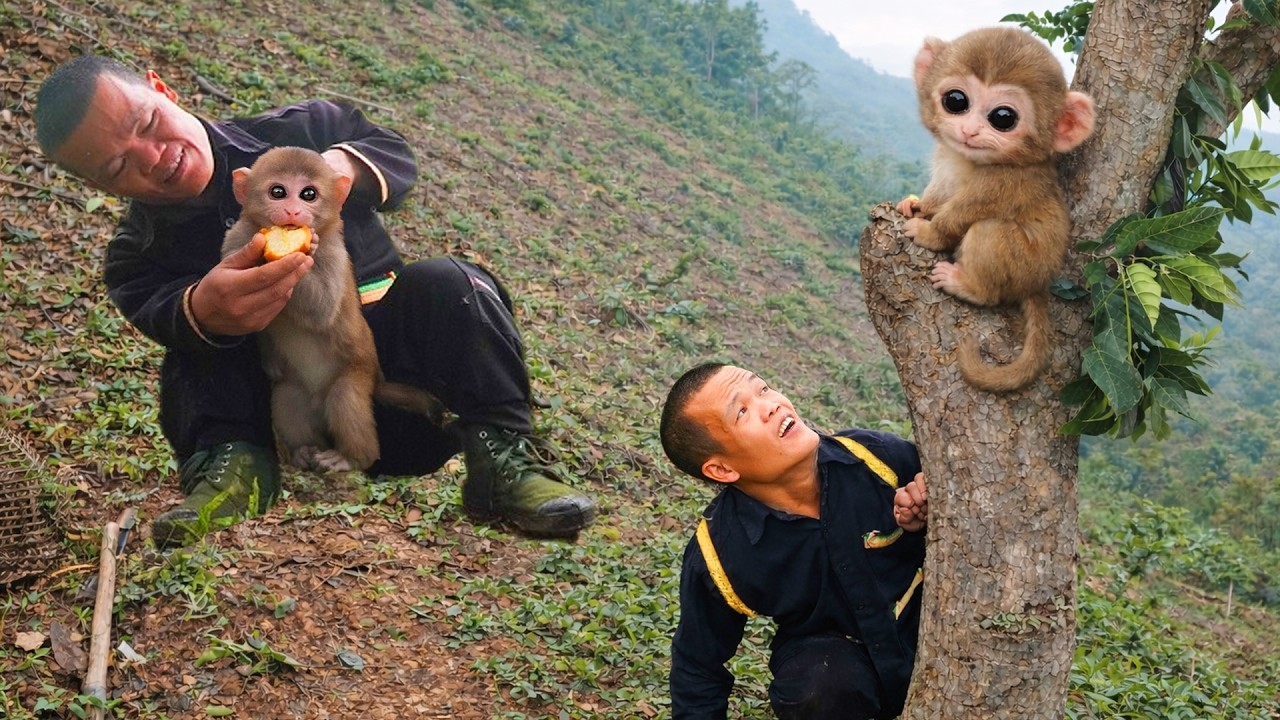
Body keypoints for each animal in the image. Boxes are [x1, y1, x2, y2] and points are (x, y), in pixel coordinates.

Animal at [222, 146, 444, 472]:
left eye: (308, 194)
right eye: (278, 192)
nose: (292, 212)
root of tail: (376, 378)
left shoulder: (334, 255)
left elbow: (323, 308)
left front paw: (302, 255)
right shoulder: (235, 241)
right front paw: (269, 358)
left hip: (355, 375)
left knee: (345, 398)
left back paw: (352, 457)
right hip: (300, 396)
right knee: (288, 399)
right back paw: (303, 450)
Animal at [896, 26, 1096, 393]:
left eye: (1003, 118)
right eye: (956, 100)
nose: (969, 130)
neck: (972, 162)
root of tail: (1038, 283)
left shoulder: (1005, 180)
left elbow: (965, 212)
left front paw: (929, 232)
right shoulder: (948, 159)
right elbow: (940, 193)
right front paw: (915, 204)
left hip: (1025, 265)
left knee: (989, 231)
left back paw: (971, 287)